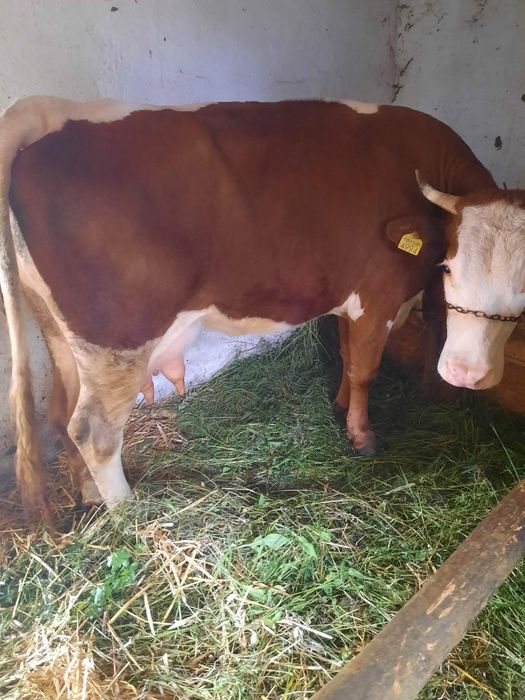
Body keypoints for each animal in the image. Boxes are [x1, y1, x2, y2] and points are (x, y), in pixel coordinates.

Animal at [0, 96, 521, 524]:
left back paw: (90, 495)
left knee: (59, 413)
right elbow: (366, 370)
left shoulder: (348, 300)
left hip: (62, 335)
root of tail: (46, 109)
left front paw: (338, 408)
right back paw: (129, 512)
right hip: (118, 339)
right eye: (448, 266)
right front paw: (362, 436)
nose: (464, 373)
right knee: (93, 430)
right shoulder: (378, 297)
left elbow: (347, 358)